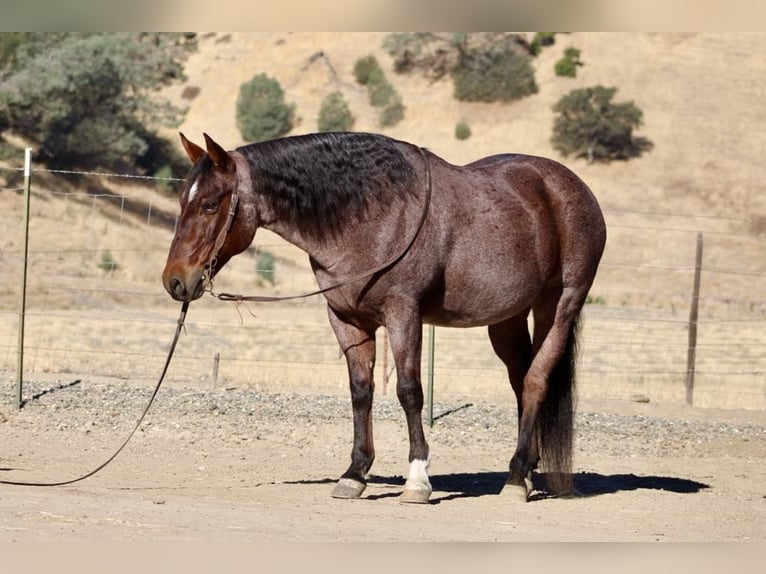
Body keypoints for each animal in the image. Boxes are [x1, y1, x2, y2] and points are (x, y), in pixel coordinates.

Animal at [162, 130, 608, 504]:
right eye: (183, 200)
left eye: (210, 204)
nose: (175, 281)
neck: (370, 216)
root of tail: (572, 187)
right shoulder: (346, 319)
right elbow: (361, 391)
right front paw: (354, 474)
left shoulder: (403, 314)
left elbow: (410, 392)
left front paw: (418, 479)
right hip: (507, 318)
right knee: (520, 382)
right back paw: (525, 471)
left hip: (559, 306)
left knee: (535, 382)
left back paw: (515, 479)